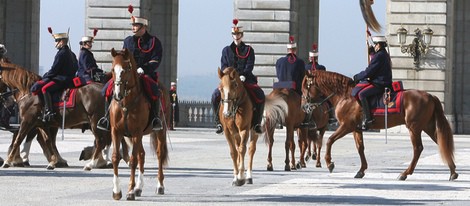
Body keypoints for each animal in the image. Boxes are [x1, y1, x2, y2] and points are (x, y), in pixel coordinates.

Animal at [109, 48, 171, 200]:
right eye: (113, 69)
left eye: (126, 69)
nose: (117, 95)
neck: (125, 103)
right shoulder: (116, 131)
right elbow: (116, 157)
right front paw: (117, 191)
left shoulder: (136, 132)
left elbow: (133, 160)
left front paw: (130, 191)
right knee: (141, 154)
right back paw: (139, 187)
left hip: (160, 130)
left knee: (159, 154)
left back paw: (159, 186)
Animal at [302, 70, 458, 180]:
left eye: (305, 87)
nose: (304, 106)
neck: (345, 96)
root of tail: (430, 95)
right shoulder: (356, 129)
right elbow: (360, 148)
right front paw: (361, 170)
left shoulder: (346, 126)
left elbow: (329, 140)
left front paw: (329, 163)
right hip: (427, 126)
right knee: (440, 142)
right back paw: (452, 172)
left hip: (414, 128)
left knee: (418, 148)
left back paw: (405, 173)